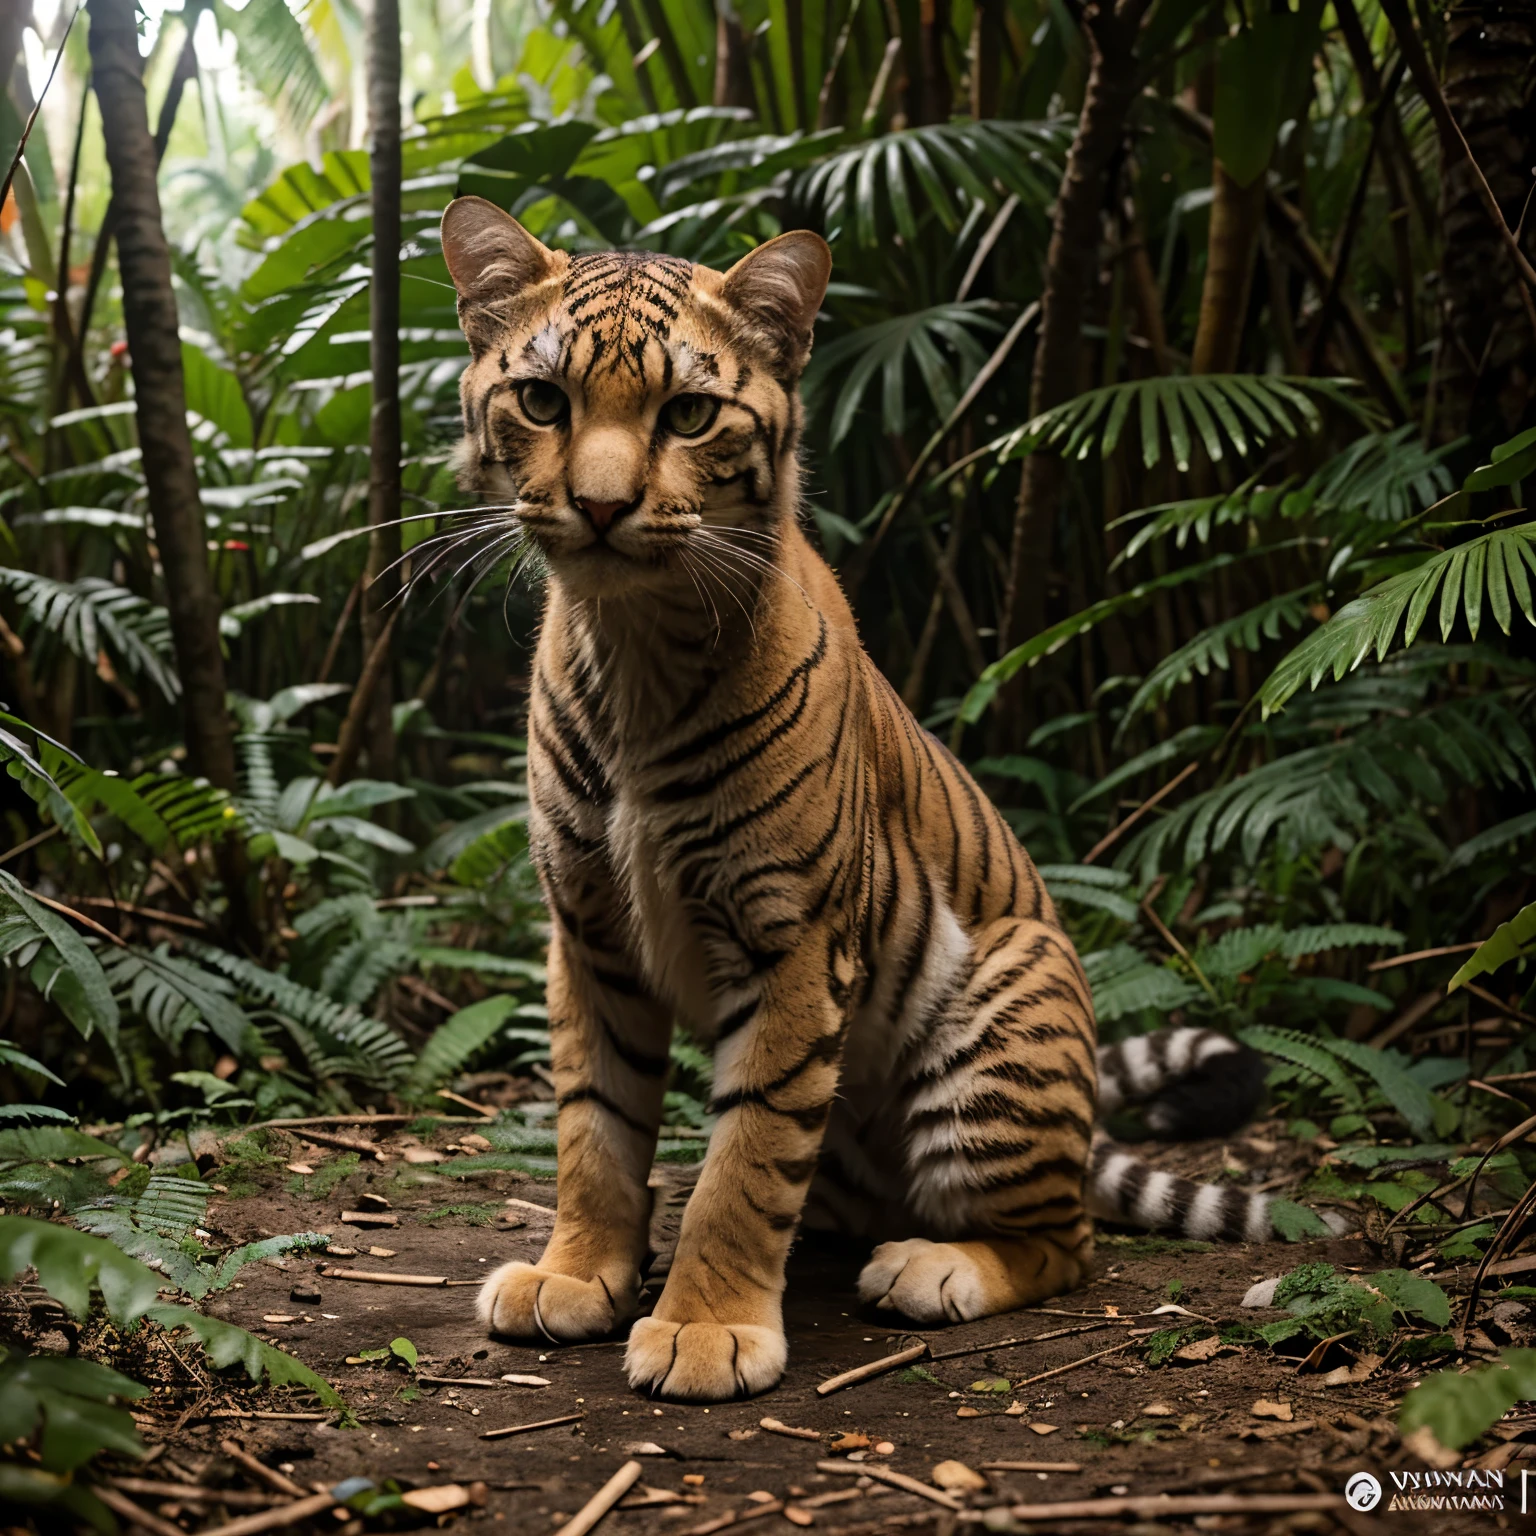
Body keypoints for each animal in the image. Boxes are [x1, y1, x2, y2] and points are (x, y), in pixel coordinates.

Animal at [442, 201, 1271, 1406]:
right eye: (544, 399)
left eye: (688, 413)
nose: (600, 507)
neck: (632, 639)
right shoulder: (587, 930)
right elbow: (595, 1127)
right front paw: (578, 1275)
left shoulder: (790, 938)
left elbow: (746, 1155)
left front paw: (704, 1331)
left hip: (1003, 1023)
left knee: (1066, 1242)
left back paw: (931, 1269)